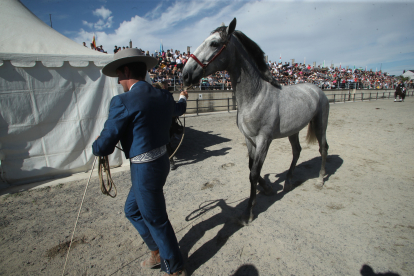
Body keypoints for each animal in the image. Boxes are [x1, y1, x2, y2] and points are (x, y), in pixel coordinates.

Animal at [183, 17, 328, 224]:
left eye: (214, 43)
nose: (185, 74)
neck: (255, 97)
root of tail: (317, 89)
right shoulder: (249, 140)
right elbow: (252, 168)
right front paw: (267, 188)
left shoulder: (263, 140)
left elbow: (253, 173)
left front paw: (248, 213)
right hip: (293, 131)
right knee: (297, 151)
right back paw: (288, 181)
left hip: (320, 124)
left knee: (323, 148)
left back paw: (320, 179)